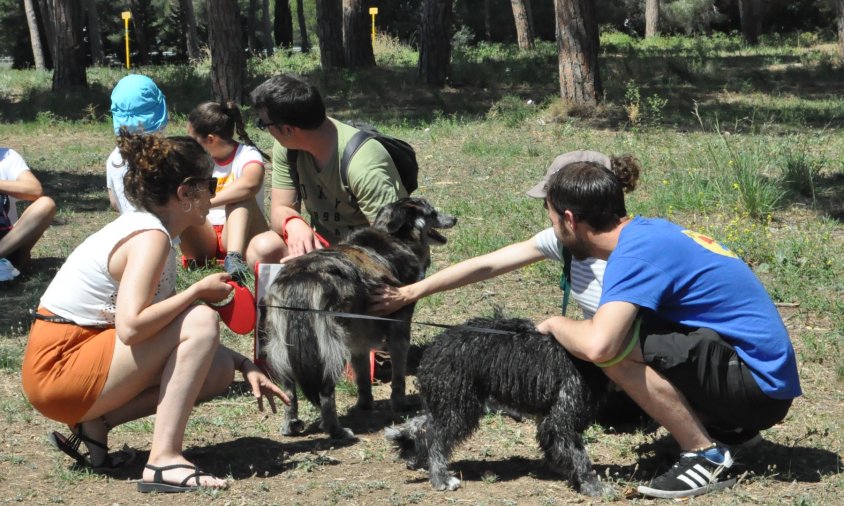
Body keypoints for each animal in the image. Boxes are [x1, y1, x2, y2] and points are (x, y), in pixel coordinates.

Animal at [264, 198, 458, 438]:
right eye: (431, 212)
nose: (455, 218)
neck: (396, 237)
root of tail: (302, 279)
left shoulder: (358, 340)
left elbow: (363, 375)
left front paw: (365, 405)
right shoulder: (399, 330)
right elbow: (398, 376)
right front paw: (400, 403)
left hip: (283, 347)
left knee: (289, 389)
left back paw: (290, 424)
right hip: (329, 348)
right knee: (326, 392)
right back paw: (336, 431)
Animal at [386, 316, 608, 494]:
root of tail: (434, 349)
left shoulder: (549, 415)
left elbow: (552, 441)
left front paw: (561, 466)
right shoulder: (564, 417)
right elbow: (578, 454)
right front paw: (592, 484)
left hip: (450, 402)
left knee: (423, 423)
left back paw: (410, 448)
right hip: (459, 408)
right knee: (437, 440)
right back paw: (441, 478)